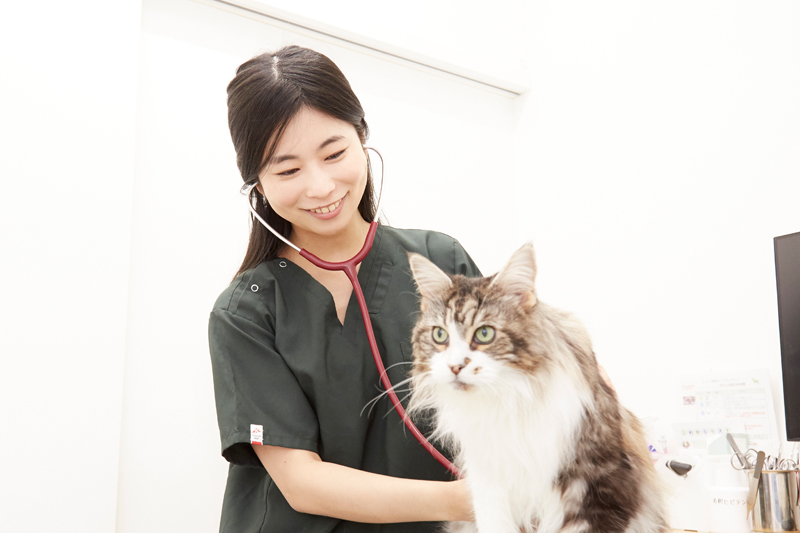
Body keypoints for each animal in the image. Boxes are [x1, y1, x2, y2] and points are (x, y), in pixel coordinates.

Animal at [410, 244, 664, 532]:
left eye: (484, 334)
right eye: (439, 335)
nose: (454, 366)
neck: (507, 401)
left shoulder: (602, 486)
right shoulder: (488, 482)